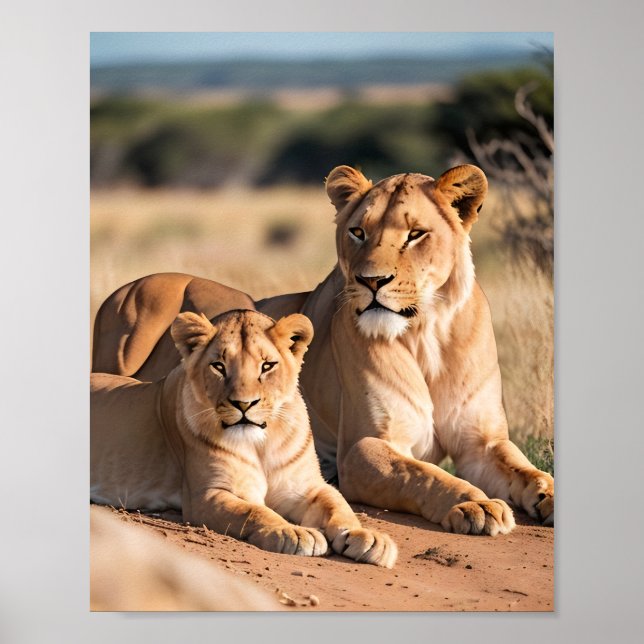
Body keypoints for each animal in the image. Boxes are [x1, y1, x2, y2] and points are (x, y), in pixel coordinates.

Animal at [91, 308, 397, 567]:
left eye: (267, 366)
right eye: (218, 366)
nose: (244, 404)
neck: (261, 443)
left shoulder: (306, 486)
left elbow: (339, 505)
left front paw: (369, 538)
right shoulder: (207, 495)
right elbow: (255, 511)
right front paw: (293, 532)